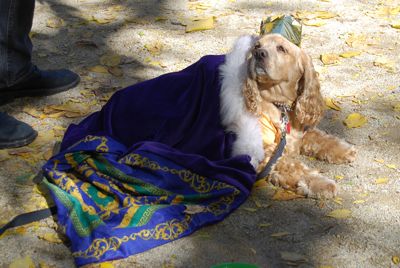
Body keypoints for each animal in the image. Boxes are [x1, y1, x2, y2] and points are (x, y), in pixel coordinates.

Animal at [219, 33, 356, 198]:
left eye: (281, 48)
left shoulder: (299, 132)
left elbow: (320, 138)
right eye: (257, 46)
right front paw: (319, 183)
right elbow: (293, 166)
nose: (259, 53)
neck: (279, 104)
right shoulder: (267, 151)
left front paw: (344, 150)